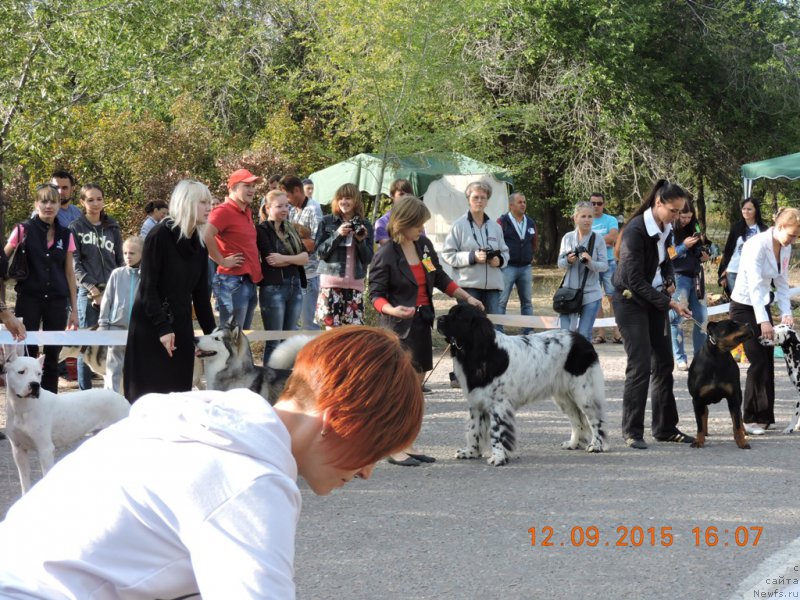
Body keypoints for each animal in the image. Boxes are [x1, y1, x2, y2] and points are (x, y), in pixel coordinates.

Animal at [1, 346, 129, 492]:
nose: (35, 385)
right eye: (21, 372)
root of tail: (123, 399)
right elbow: (24, 482)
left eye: (39, 374)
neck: (22, 408)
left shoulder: (45, 450)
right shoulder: (18, 451)